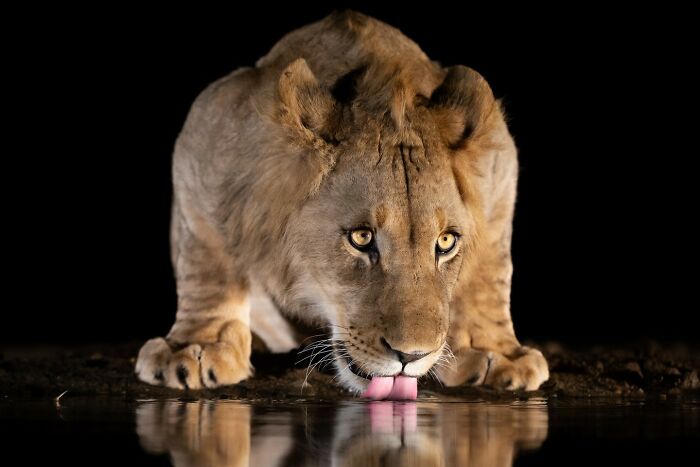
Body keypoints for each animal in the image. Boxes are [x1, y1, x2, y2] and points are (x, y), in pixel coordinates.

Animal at [135, 10, 549, 395]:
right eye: (361, 238)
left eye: (446, 242)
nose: (411, 355)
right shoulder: (206, 133)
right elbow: (207, 261)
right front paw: (197, 346)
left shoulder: (500, 165)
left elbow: (490, 273)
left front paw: (493, 352)